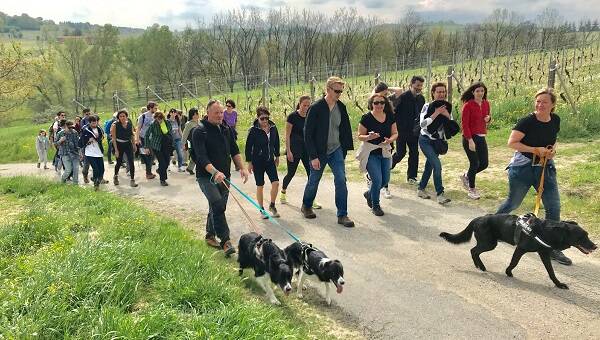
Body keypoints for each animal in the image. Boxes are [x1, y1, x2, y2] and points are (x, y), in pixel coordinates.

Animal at [438, 214, 596, 288]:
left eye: (587, 235)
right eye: (582, 237)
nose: (595, 246)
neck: (547, 231)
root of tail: (478, 218)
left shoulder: (544, 253)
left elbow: (551, 272)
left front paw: (558, 284)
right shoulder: (521, 248)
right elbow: (514, 262)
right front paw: (508, 272)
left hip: (489, 243)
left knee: (474, 251)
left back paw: (479, 265)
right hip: (489, 243)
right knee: (473, 250)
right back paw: (481, 266)